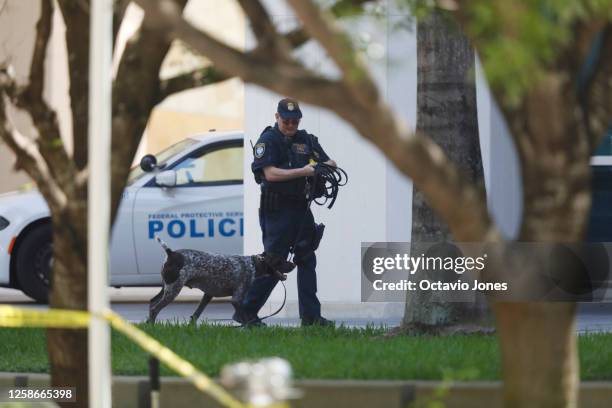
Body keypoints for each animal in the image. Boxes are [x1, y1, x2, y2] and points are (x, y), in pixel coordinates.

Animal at [147, 237, 292, 324]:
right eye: (280, 260)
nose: (294, 263)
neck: (252, 264)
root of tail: (171, 253)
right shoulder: (236, 299)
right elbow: (245, 318)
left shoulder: (208, 295)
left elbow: (195, 315)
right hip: (173, 290)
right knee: (155, 309)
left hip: (166, 288)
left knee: (152, 303)